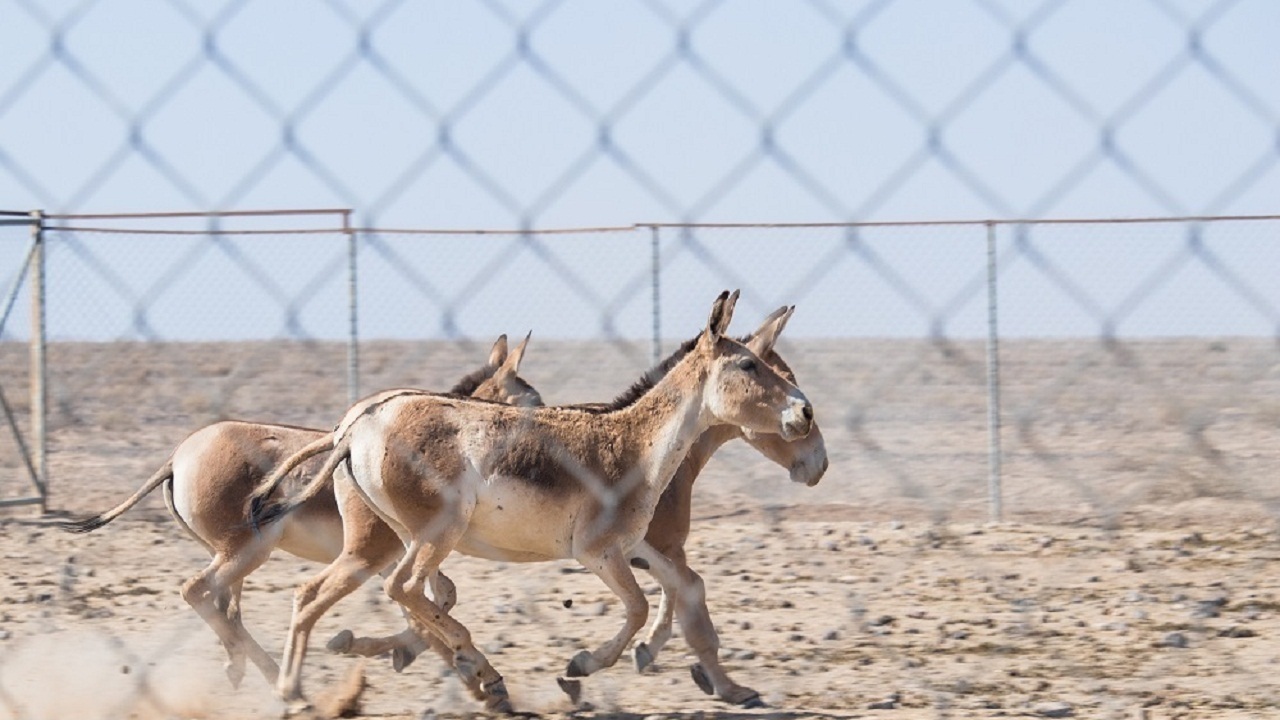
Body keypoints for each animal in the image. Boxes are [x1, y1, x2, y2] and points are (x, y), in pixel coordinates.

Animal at [58, 333, 540, 686]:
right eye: (533, 405)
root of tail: (177, 457)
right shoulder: (385, 550)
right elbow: (430, 599)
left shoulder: (393, 552)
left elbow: (437, 597)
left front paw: (401, 650)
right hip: (246, 550)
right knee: (200, 593)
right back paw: (272, 674)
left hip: (232, 554)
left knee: (224, 607)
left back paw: (249, 668)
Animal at [250, 288, 814, 707]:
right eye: (749, 366)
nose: (805, 413)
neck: (636, 444)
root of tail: (355, 425)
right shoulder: (599, 551)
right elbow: (636, 608)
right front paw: (581, 665)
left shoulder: (635, 548)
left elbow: (672, 597)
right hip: (433, 532)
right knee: (403, 589)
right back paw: (478, 670)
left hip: (404, 535)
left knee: (355, 595)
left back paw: (297, 689)